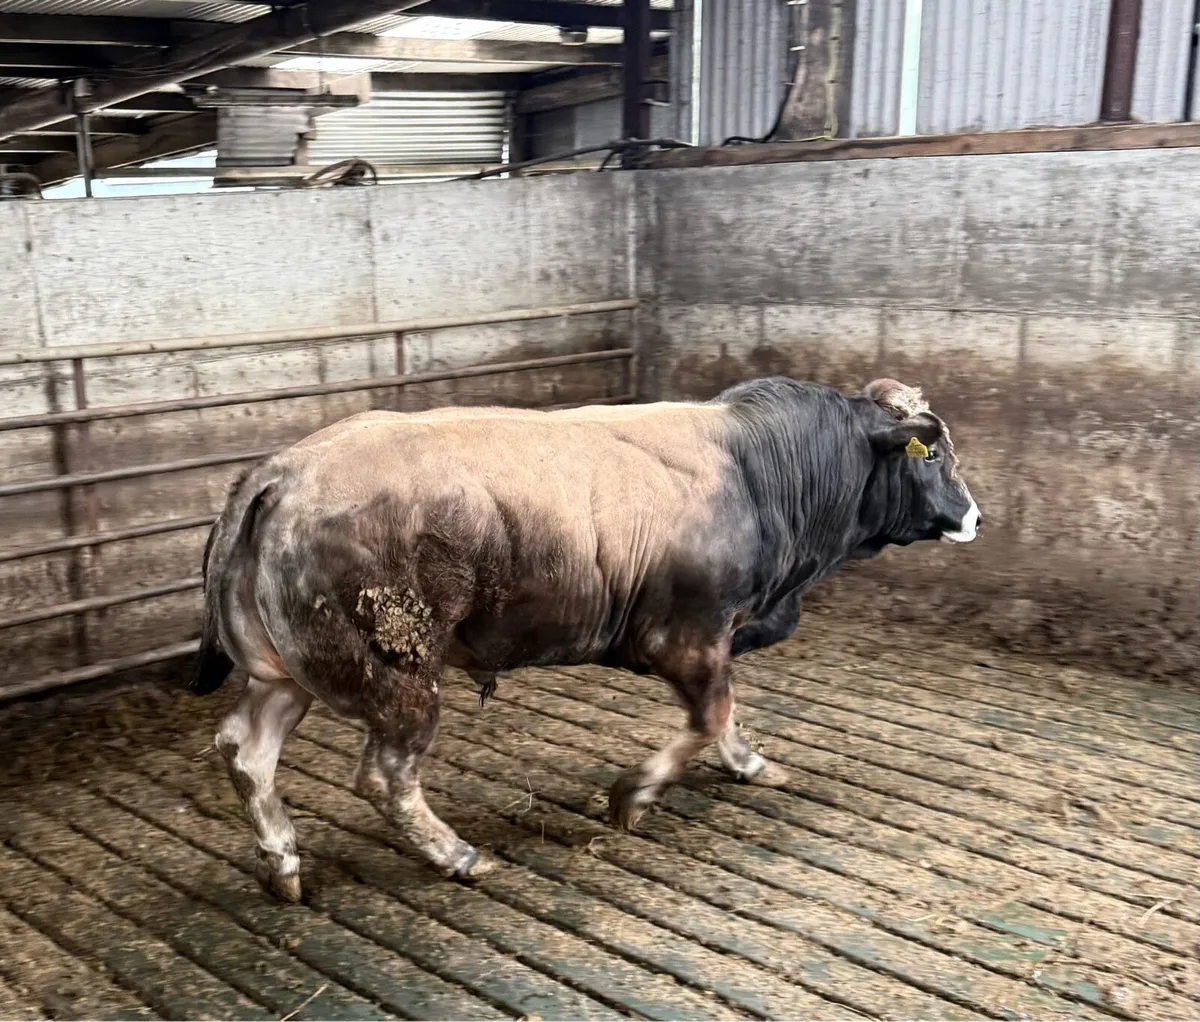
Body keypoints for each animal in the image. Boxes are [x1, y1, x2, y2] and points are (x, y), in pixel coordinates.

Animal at [191, 375, 979, 901]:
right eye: (930, 454)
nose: (974, 517)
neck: (758, 473)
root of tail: (283, 471)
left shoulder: (714, 639)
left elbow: (724, 715)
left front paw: (749, 763)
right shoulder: (685, 634)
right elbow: (709, 714)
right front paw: (636, 793)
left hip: (286, 671)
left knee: (245, 749)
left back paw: (284, 861)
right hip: (395, 674)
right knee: (385, 775)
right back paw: (455, 855)